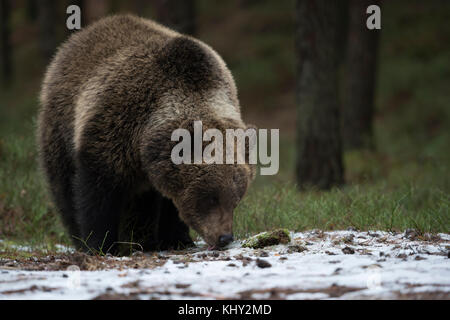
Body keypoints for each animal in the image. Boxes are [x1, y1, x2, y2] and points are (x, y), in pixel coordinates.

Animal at [37, 15, 255, 255]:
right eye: (211, 198)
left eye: (236, 199)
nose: (225, 237)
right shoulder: (112, 132)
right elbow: (97, 195)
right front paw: (100, 244)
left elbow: (170, 204)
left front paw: (176, 238)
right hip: (60, 125)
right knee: (64, 187)